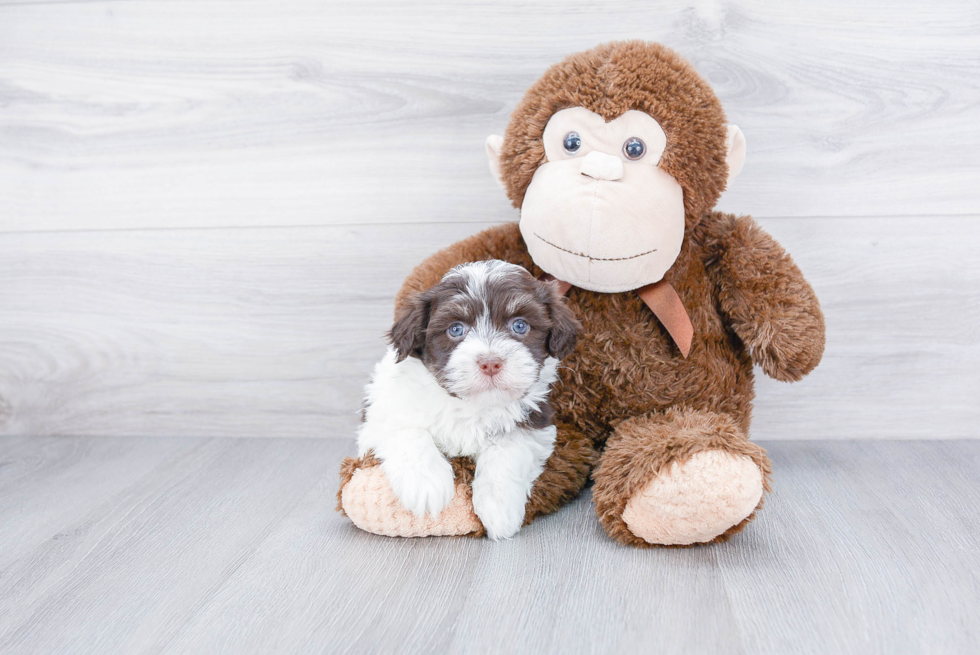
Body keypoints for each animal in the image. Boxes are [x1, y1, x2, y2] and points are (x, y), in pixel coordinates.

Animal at [356, 258, 580, 540]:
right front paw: (426, 483)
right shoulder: (381, 414)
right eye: (456, 329)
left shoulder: (534, 419)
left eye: (520, 325)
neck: (472, 404)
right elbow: (407, 432)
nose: (491, 363)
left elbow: (509, 450)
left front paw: (499, 508)